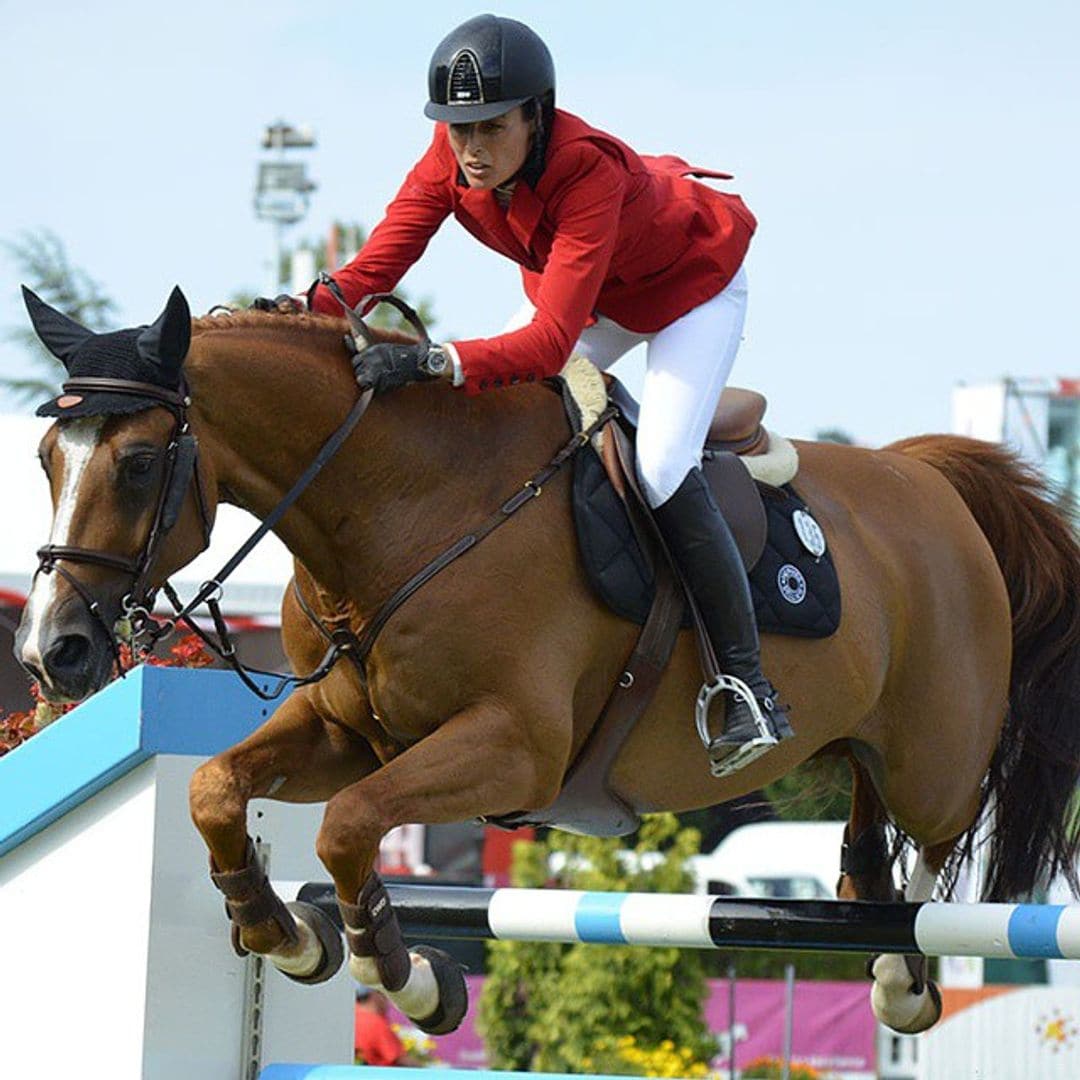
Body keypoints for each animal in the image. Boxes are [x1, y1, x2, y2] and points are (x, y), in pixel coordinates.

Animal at [12, 287, 1080, 1036]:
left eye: (138, 465)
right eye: (46, 461)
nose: (53, 651)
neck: (404, 508)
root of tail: (928, 475)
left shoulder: (513, 750)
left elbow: (351, 827)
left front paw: (407, 977)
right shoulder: (345, 730)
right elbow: (217, 792)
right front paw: (285, 931)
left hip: (934, 755)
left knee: (941, 835)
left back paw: (900, 975)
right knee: (869, 809)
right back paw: (866, 903)